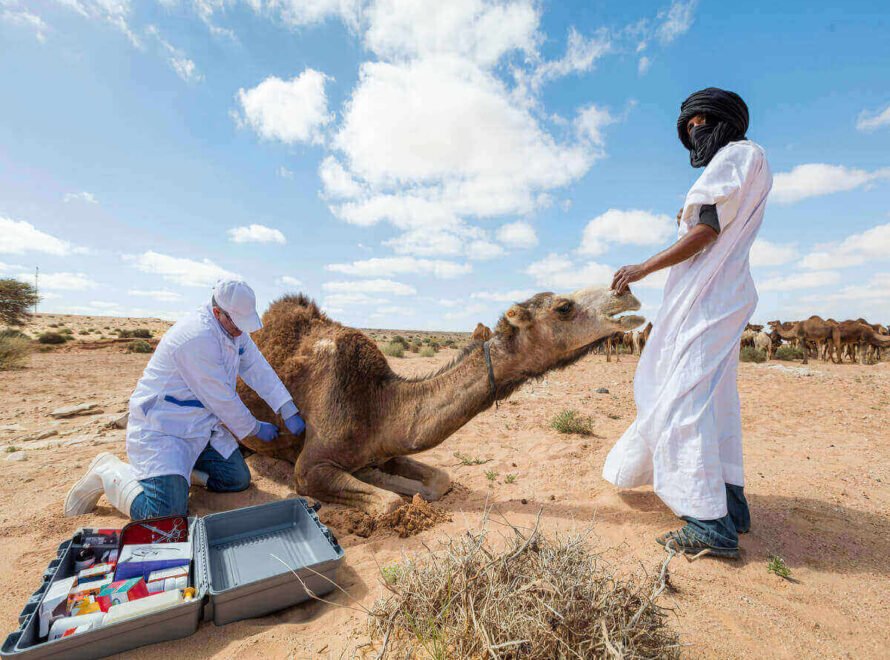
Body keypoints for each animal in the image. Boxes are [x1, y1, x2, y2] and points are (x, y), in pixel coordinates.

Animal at [237, 288, 644, 515]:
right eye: (563, 307)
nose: (626, 294)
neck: (377, 402)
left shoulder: (386, 446)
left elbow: (439, 480)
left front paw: (387, 479)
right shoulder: (310, 467)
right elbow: (389, 503)